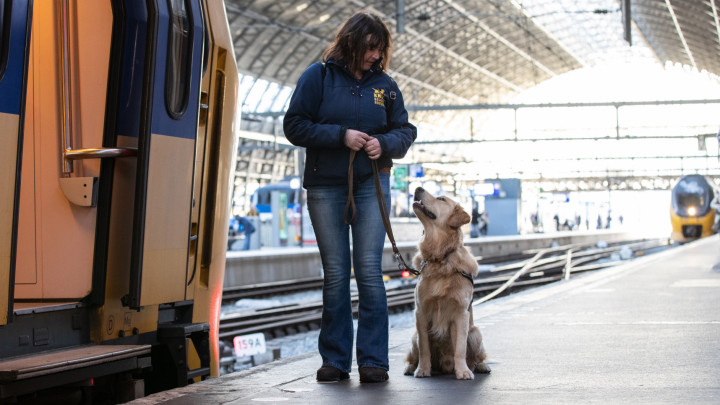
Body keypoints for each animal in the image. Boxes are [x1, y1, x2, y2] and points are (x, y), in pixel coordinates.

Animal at [404, 186, 490, 378]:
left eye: (441, 199)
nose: (418, 188)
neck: (440, 258)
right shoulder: (421, 312)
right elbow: (424, 348)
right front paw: (422, 369)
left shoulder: (461, 313)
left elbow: (460, 348)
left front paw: (463, 371)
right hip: (412, 336)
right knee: (414, 354)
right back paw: (411, 367)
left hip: (476, 333)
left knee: (476, 356)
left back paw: (481, 366)